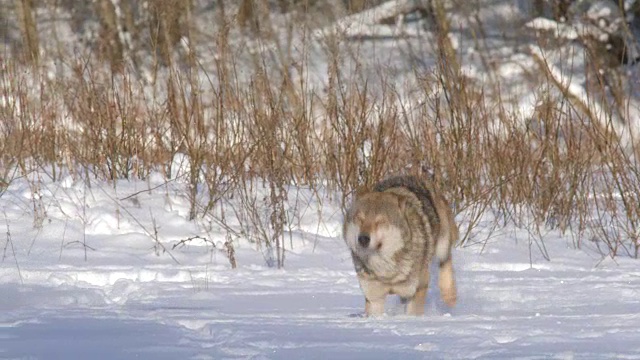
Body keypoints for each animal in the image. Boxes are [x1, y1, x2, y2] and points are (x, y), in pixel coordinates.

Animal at [342, 176, 458, 316]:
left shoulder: (417, 290)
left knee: (446, 261)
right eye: (360, 219)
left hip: (443, 244)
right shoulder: (374, 298)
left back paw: (450, 297)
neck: (386, 271)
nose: (363, 239)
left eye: (381, 222)